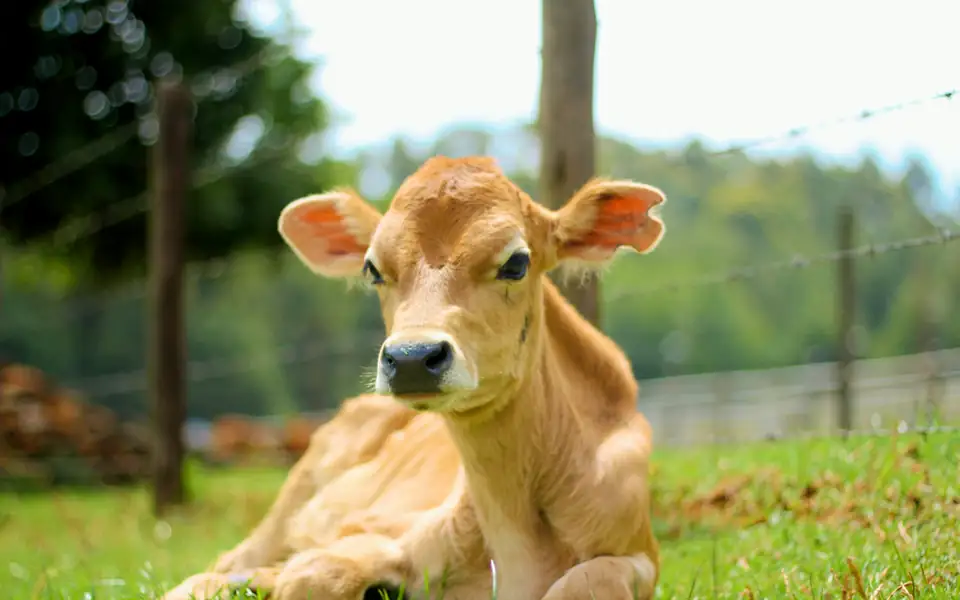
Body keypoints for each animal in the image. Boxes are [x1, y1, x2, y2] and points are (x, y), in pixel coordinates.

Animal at [164, 155, 666, 600]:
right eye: (372, 268)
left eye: (516, 262)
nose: (410, 357)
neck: (517, 543)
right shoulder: (374, 530)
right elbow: (315, 574)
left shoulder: (639, 552)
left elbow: (589, 581)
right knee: (222, 565)